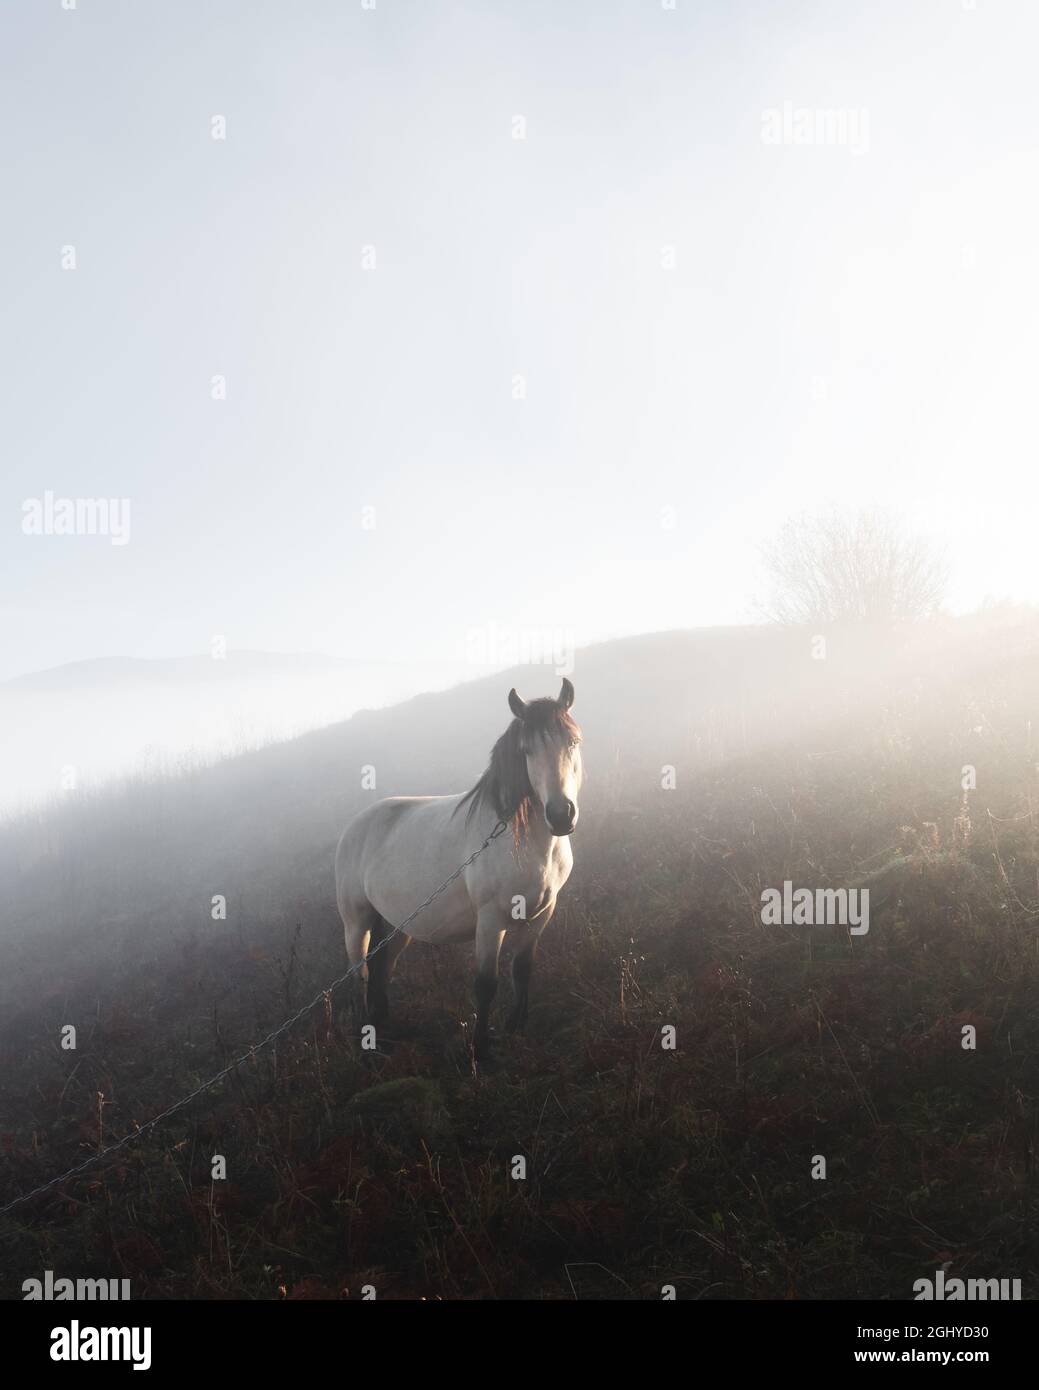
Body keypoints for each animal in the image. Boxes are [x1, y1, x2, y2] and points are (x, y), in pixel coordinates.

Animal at [339, 678, 584, 1056]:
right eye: (526, 751)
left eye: (572, 742)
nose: (560, 815)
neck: (521, 841)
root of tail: (354, 827)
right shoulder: (490, 921)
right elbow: (485, 984)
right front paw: (481, 1048)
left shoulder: (543, 912)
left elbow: (522, 970)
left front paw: (516, 1027)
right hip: (357, 924)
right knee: (359, 978)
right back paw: (365, 1042)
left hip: (397, 927)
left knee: (381, 973)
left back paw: (384, 1031)